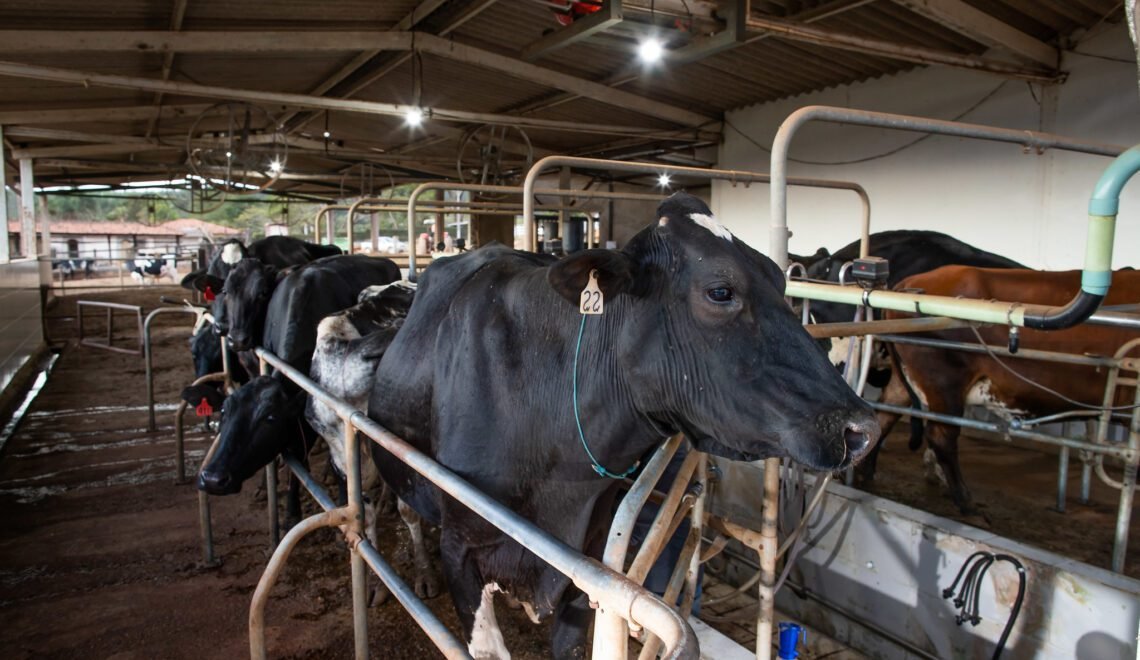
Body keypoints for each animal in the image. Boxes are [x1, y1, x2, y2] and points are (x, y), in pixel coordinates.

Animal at [369, 193, 875, 656]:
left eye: (779, 278)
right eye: (720, 291)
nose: (861, 429)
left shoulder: (586, 559)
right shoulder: (461, 552)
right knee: (405, 511)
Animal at [861, 265, 1140, 512]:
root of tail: (909, 283)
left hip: (906, 380)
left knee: (885, 416)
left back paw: (867, 472)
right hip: (943, 382)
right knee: (942, 437)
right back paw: (965, 500)